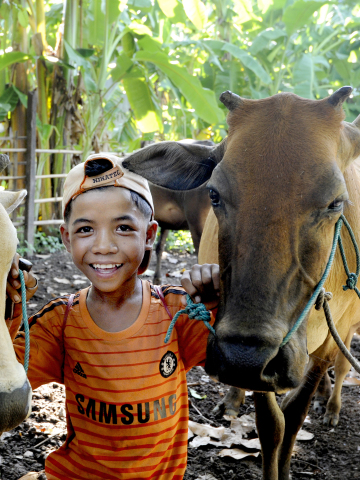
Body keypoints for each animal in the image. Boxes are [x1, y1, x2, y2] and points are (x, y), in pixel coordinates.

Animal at [122, 87, 360, 480]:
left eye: (335, 202)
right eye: (214, 194)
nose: (242, 356)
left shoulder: (331, 335)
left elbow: (295, 415)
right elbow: (271, 425)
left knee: (341, 369)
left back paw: (332, 405)